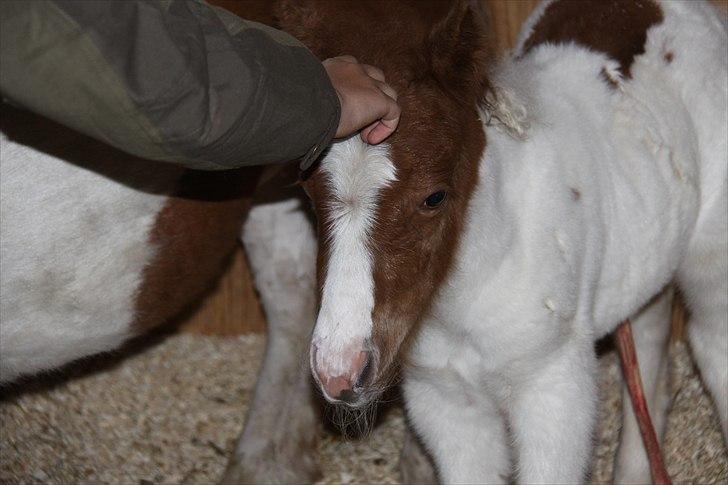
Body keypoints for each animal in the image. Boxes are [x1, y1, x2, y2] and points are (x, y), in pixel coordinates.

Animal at [298, 1, 728, 482]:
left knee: (714, 342)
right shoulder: (444, 397)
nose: (340, 370)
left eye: (434, 196)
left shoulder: (555, 388)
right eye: (308, 194)